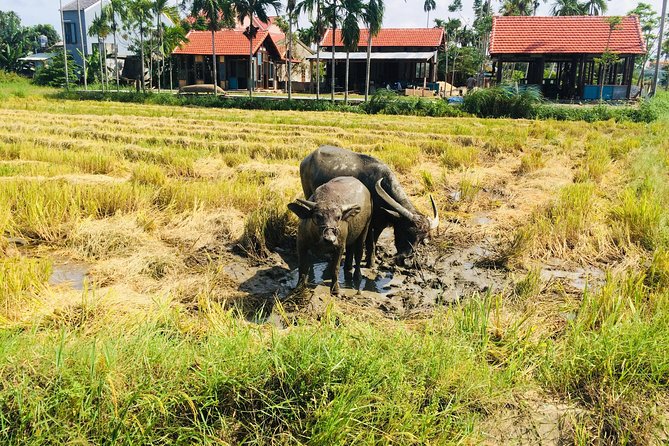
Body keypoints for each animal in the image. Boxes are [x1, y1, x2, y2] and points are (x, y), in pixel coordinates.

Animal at [298, 145, 438, 264]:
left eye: (421, 238)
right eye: (406, 231)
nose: (406, 261)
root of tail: (307, 159)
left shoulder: (381, 224)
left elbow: (374, 242)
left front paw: (371, 259)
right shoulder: (370, 223)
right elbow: (370, 243)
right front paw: (370, 262)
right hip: (308, 192)